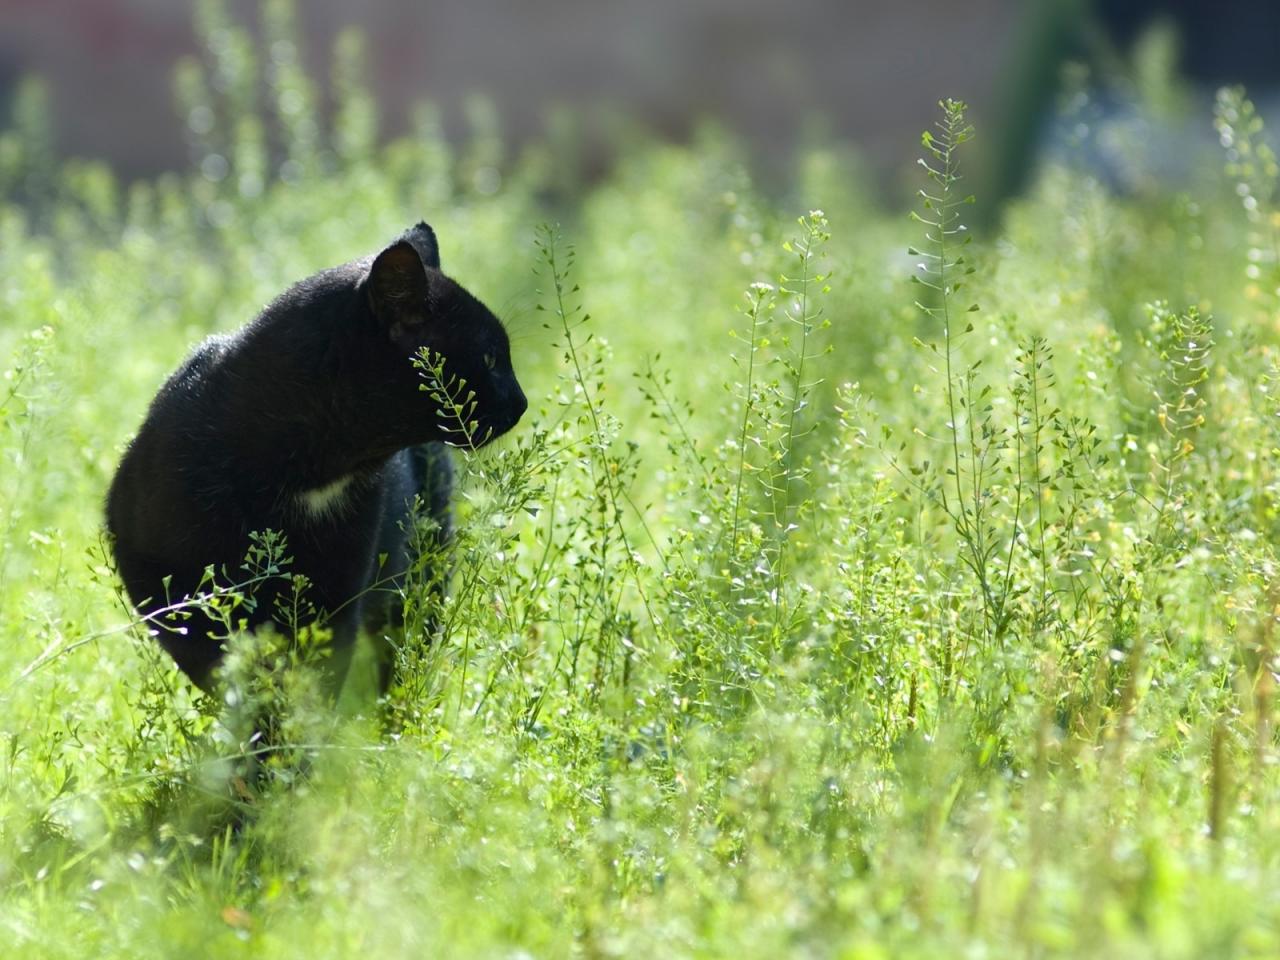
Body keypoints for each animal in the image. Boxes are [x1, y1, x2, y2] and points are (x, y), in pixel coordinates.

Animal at [106, 221, 524, 696]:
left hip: (421, 577)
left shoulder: (336, 596)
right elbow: (224, 669)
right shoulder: (164, 586)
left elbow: (315, 685)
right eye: (489, 359)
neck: (314, 471)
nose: (521, 402)